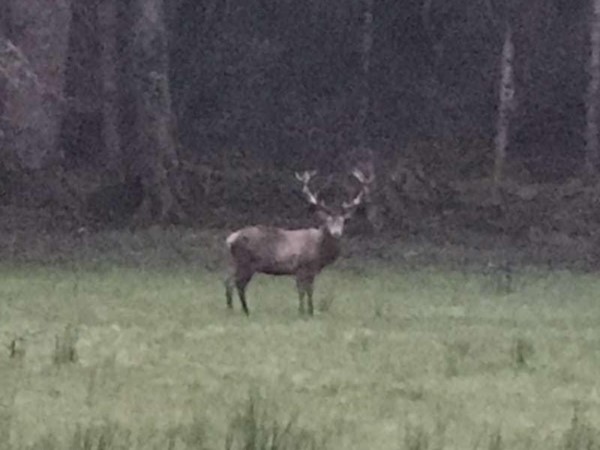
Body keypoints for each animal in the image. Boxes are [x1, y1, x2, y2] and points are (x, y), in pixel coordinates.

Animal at [225, 169, 372, 316]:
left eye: (343, 222)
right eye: (327, 221)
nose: (336, 233)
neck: (319, 252)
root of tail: (230, 239)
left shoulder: (311, 271)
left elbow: (310, 291)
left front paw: (311, 312)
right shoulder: (300, 267)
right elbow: (302, 291)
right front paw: (301, 312)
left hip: (237, 262)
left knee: (228, 281)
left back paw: (231, 308)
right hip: (246, 262)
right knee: (238, 284)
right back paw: (245, 310)